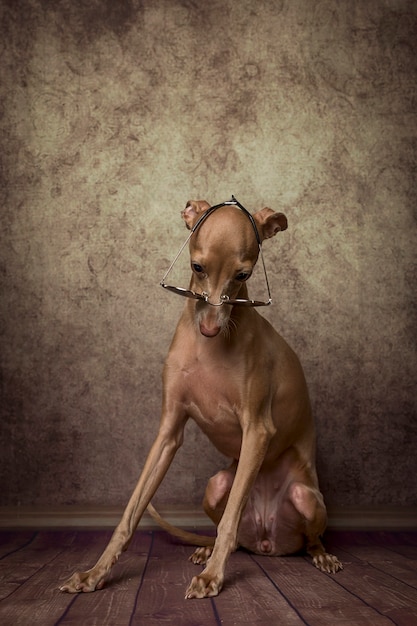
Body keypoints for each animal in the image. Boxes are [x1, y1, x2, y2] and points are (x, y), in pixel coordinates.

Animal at [61, 197, 342, 596]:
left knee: (300, 537)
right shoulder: (168, 432)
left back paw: (320, 555)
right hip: (215, 485)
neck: (209, 349)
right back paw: (206, 549)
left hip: (306, 498)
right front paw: (95, 572)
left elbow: (229, 521)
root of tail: (267, 543)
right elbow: (130, 513)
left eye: (243, 275)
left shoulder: (258, 431)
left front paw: (213, 576)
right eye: (197, 267)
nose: (209, 328)